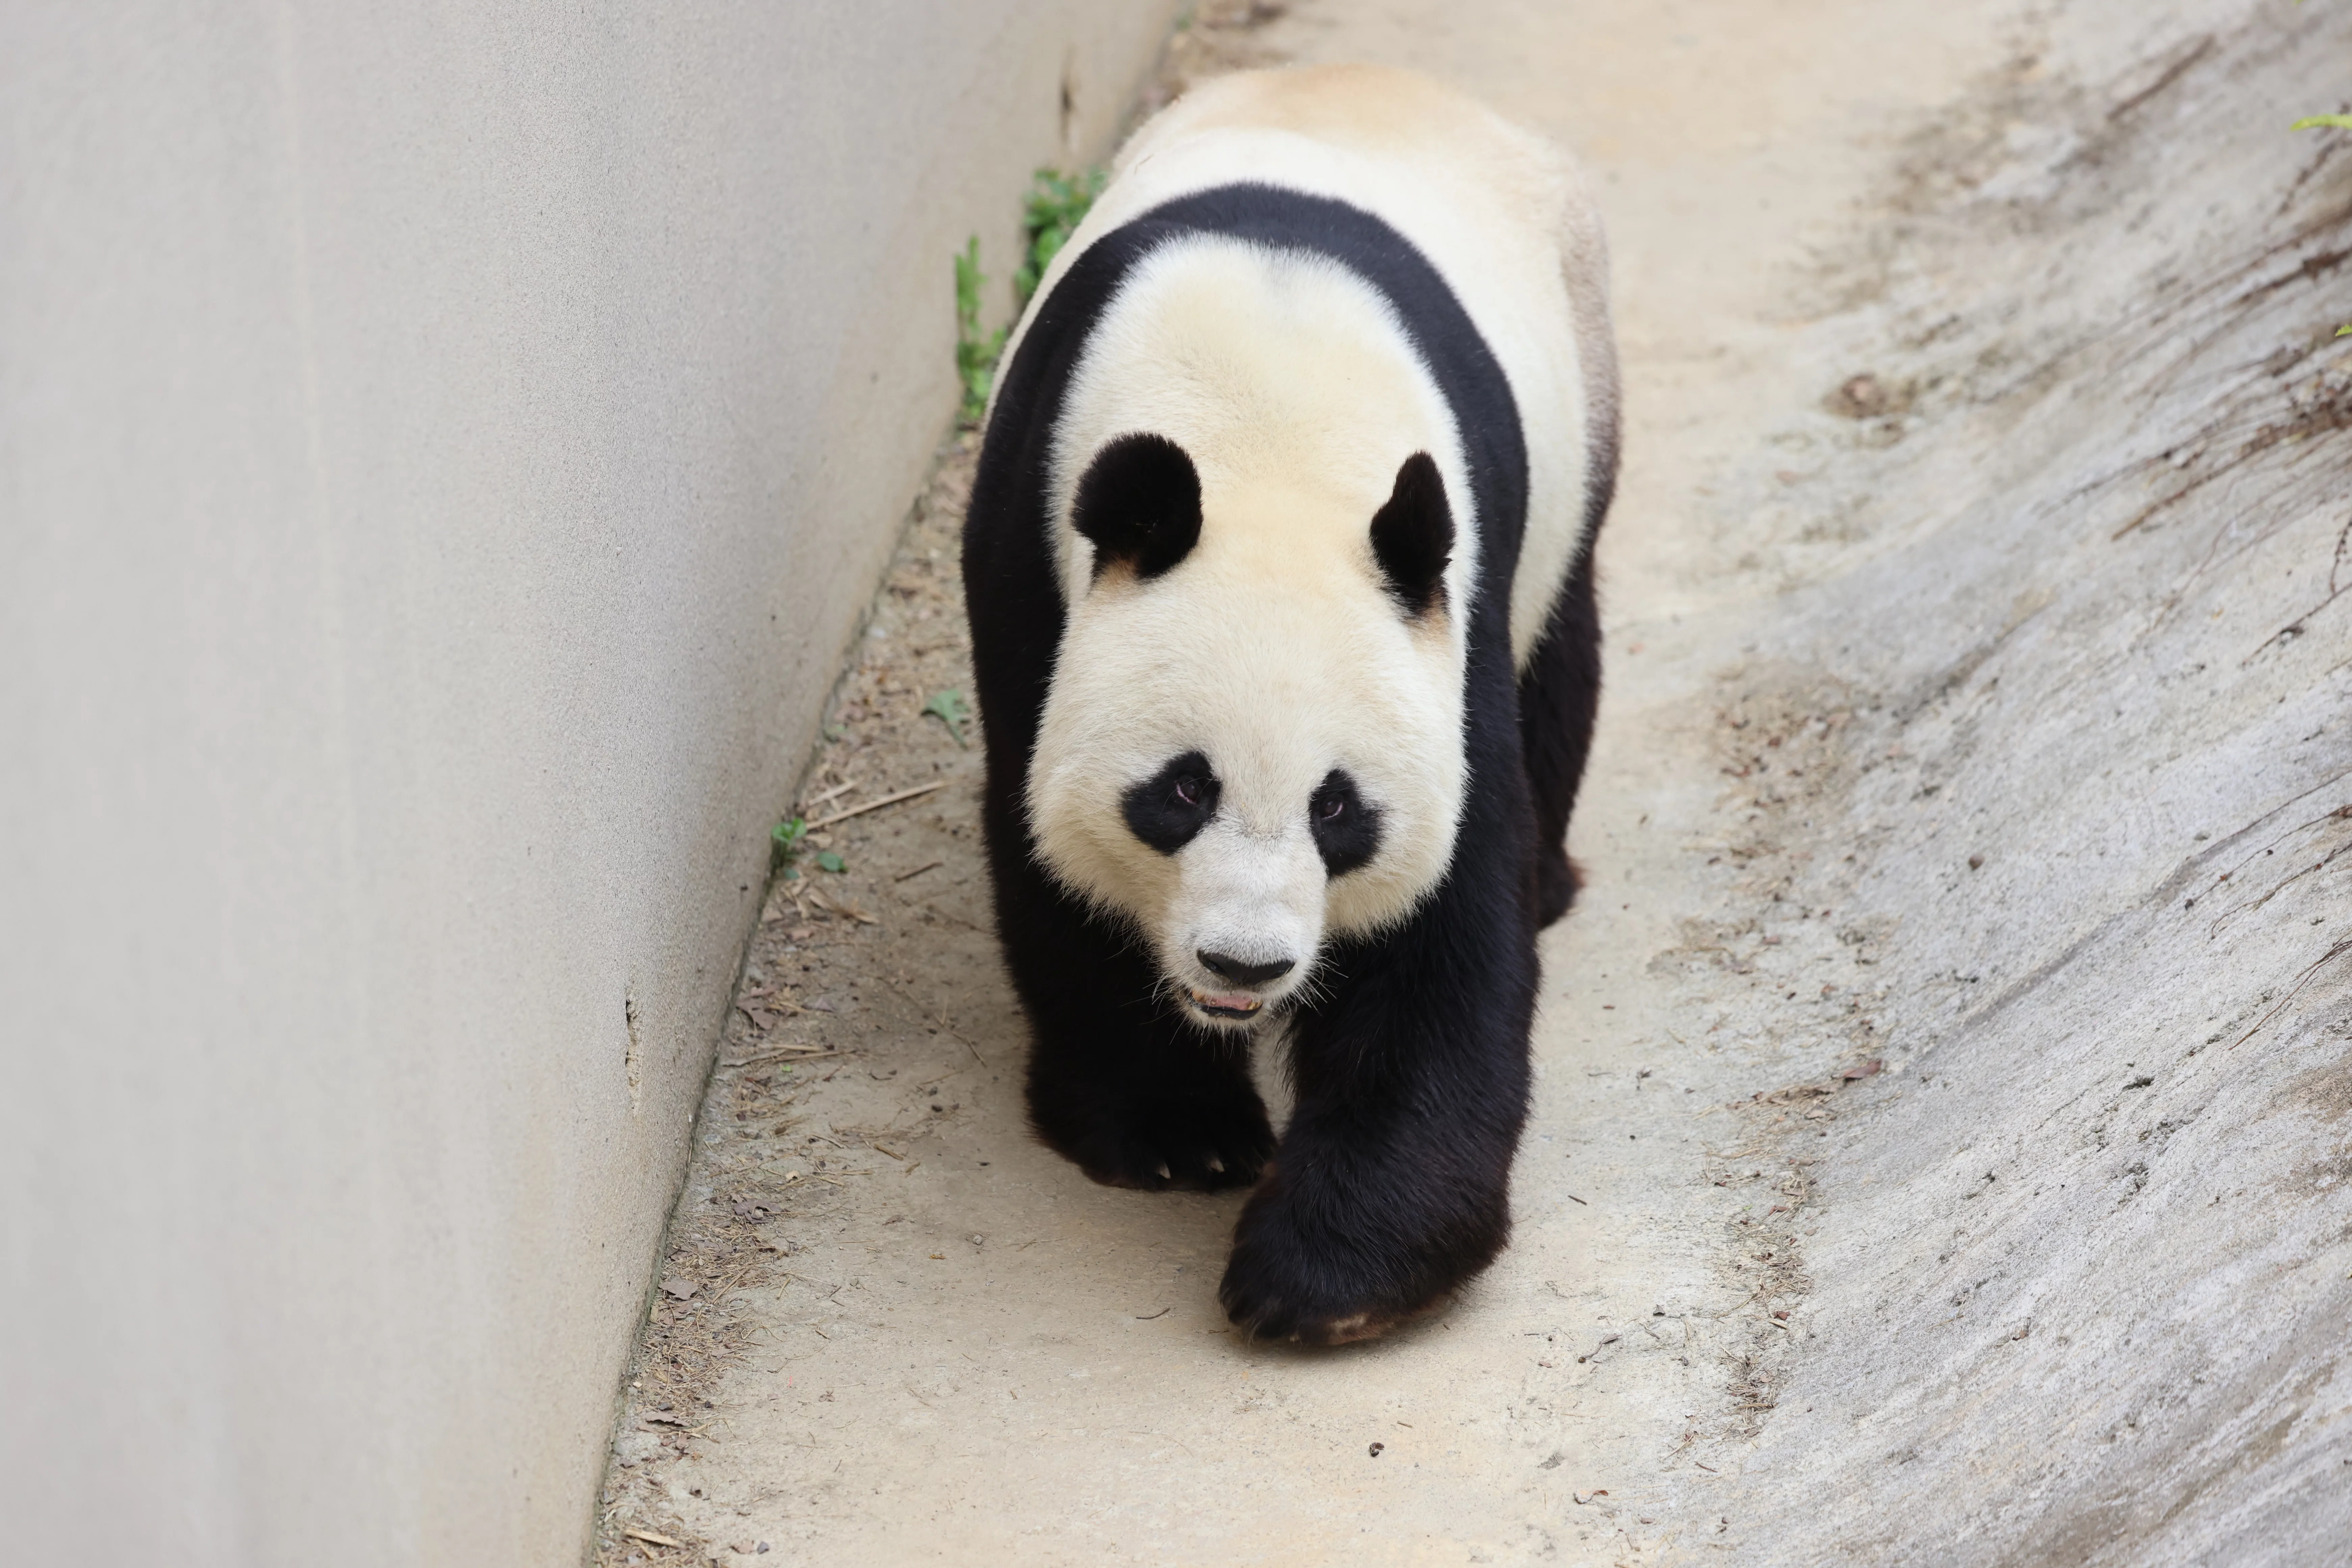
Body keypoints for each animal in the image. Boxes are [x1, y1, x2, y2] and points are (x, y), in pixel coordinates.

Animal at [961, 63, 1618, 1345]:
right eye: (1179, 791)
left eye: (1338, 809)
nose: (1245, 963)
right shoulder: (1029, 564)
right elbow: (1048, 856)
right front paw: (1175, 1132)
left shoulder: (1442, 615)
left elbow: (1444, 926)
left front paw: (1330, 1282)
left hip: (1581, 420)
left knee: (1562, 656)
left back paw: (1553, 884)